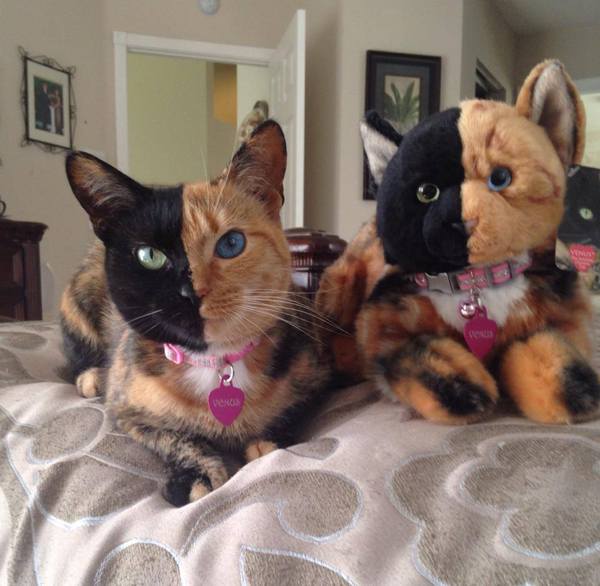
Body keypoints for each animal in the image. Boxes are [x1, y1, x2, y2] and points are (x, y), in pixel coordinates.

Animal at [60, 121, 330, 506]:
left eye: (231, 243)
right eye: (150, 255)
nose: (191, 292)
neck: (217, 363)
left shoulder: (318, 373)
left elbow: (294, 410)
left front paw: (267, 442)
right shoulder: (125, 406)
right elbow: (171, 436)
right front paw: (196, 476)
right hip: (77, 301)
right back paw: (92, 376)